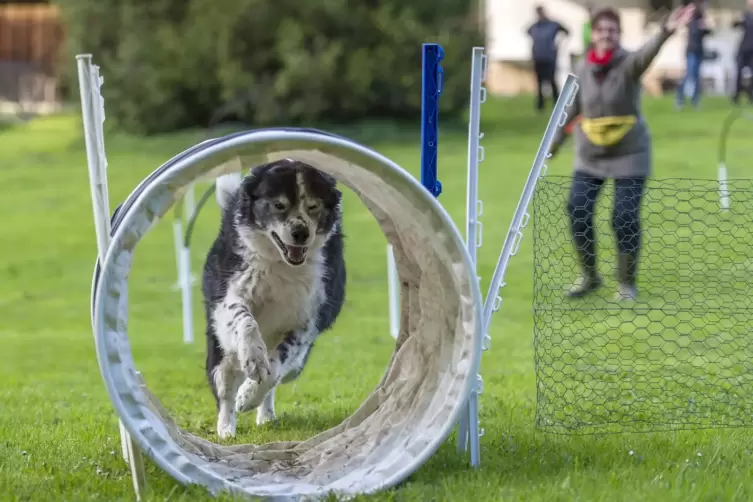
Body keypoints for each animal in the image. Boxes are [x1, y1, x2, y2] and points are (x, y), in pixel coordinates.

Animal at [201, 159, 346, 438]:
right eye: (279, 205)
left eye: (313, 206)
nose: (300, 233)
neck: (281, 264)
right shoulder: (228, 291)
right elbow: (244, 320)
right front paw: (253, 359)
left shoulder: (309, 318)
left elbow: (275, 366)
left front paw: (248, 396)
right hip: (221, 350)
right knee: (224, 384)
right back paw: (226, 430)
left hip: (298, 364)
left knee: (279, 377)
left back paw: (264, 414)